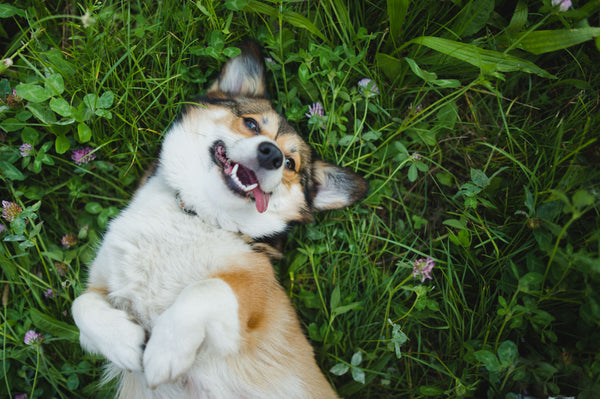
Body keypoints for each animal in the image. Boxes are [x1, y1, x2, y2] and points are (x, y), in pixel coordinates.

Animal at [72, 42, 368, 398]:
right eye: (252, 124)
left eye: (291, 164)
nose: (272, 154)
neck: (200, 216)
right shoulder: (101, 283)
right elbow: (80, 305)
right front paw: (124, 343)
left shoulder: (252, 301)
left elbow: (207, 288)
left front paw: (165, 351)